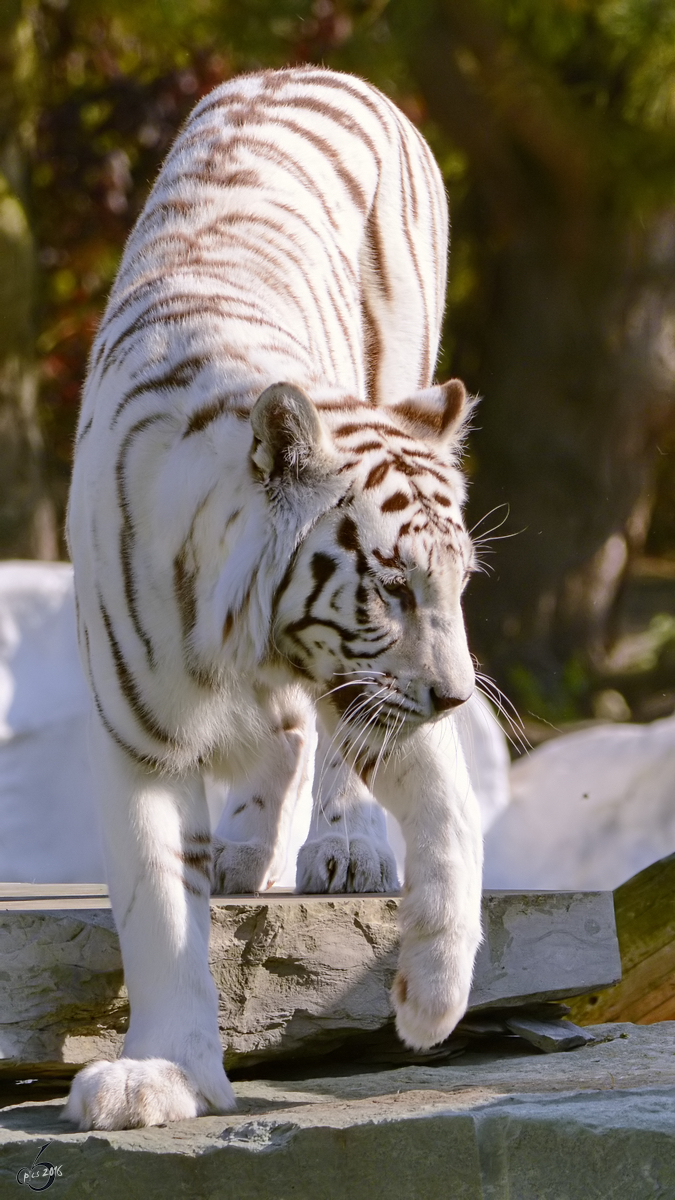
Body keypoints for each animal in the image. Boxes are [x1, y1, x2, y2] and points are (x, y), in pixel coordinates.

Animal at [63, 68, 480, 1132]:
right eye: (391, 586)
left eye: (458, 584)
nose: (458, 697)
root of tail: (315, 71)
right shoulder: (136, 731)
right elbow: (159, 908)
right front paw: (161, 1074)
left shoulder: (378, 686)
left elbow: (451, 811)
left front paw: (430, 1000)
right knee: (285, 739)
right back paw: (248, 851)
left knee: (331, 757)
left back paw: (345, 852)